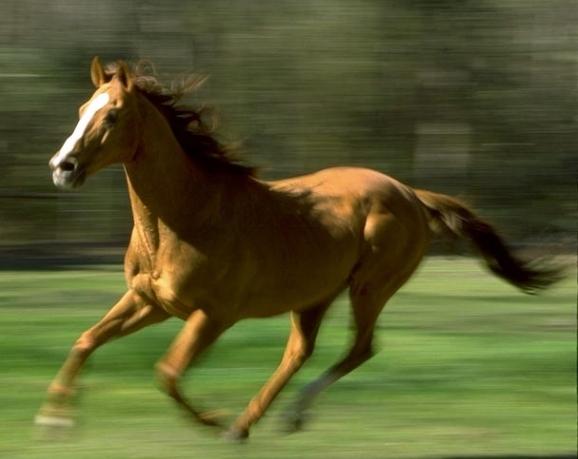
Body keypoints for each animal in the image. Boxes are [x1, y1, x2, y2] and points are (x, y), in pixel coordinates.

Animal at [37, 58, 560, 442]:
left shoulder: (213, 316)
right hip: (314, 296)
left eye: (112, 115)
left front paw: (212, 419)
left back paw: (268, 421)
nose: (62, 167)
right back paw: (253, 423)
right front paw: (54, 420)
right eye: (81, 109)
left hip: (369, 288)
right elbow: (85, 340)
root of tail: (411, 194)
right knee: (300, 351)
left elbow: (167, 372)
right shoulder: (151, 301)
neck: (186, 216)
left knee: (359, 348)